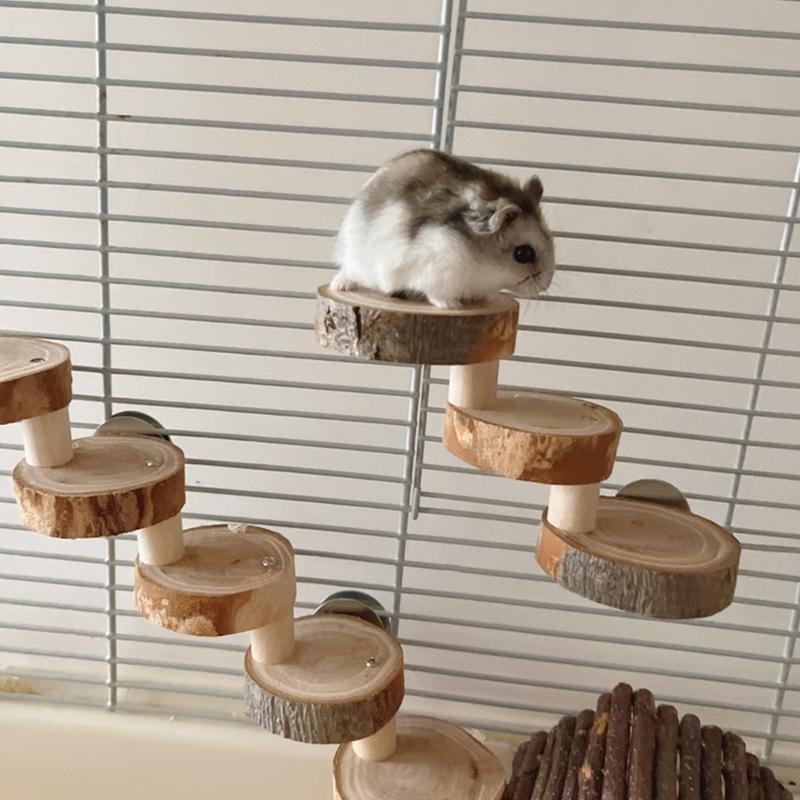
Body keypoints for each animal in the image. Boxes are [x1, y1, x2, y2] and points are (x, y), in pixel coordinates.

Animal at [331, 149, 555, 309]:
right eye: (523, 253)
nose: (546, 284)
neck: (480, 262)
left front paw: (486, 300)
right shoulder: (436, 271)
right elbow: (436, 294)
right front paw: (453, 306)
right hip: (354, 257)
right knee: (346, 271)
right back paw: (341, 286)